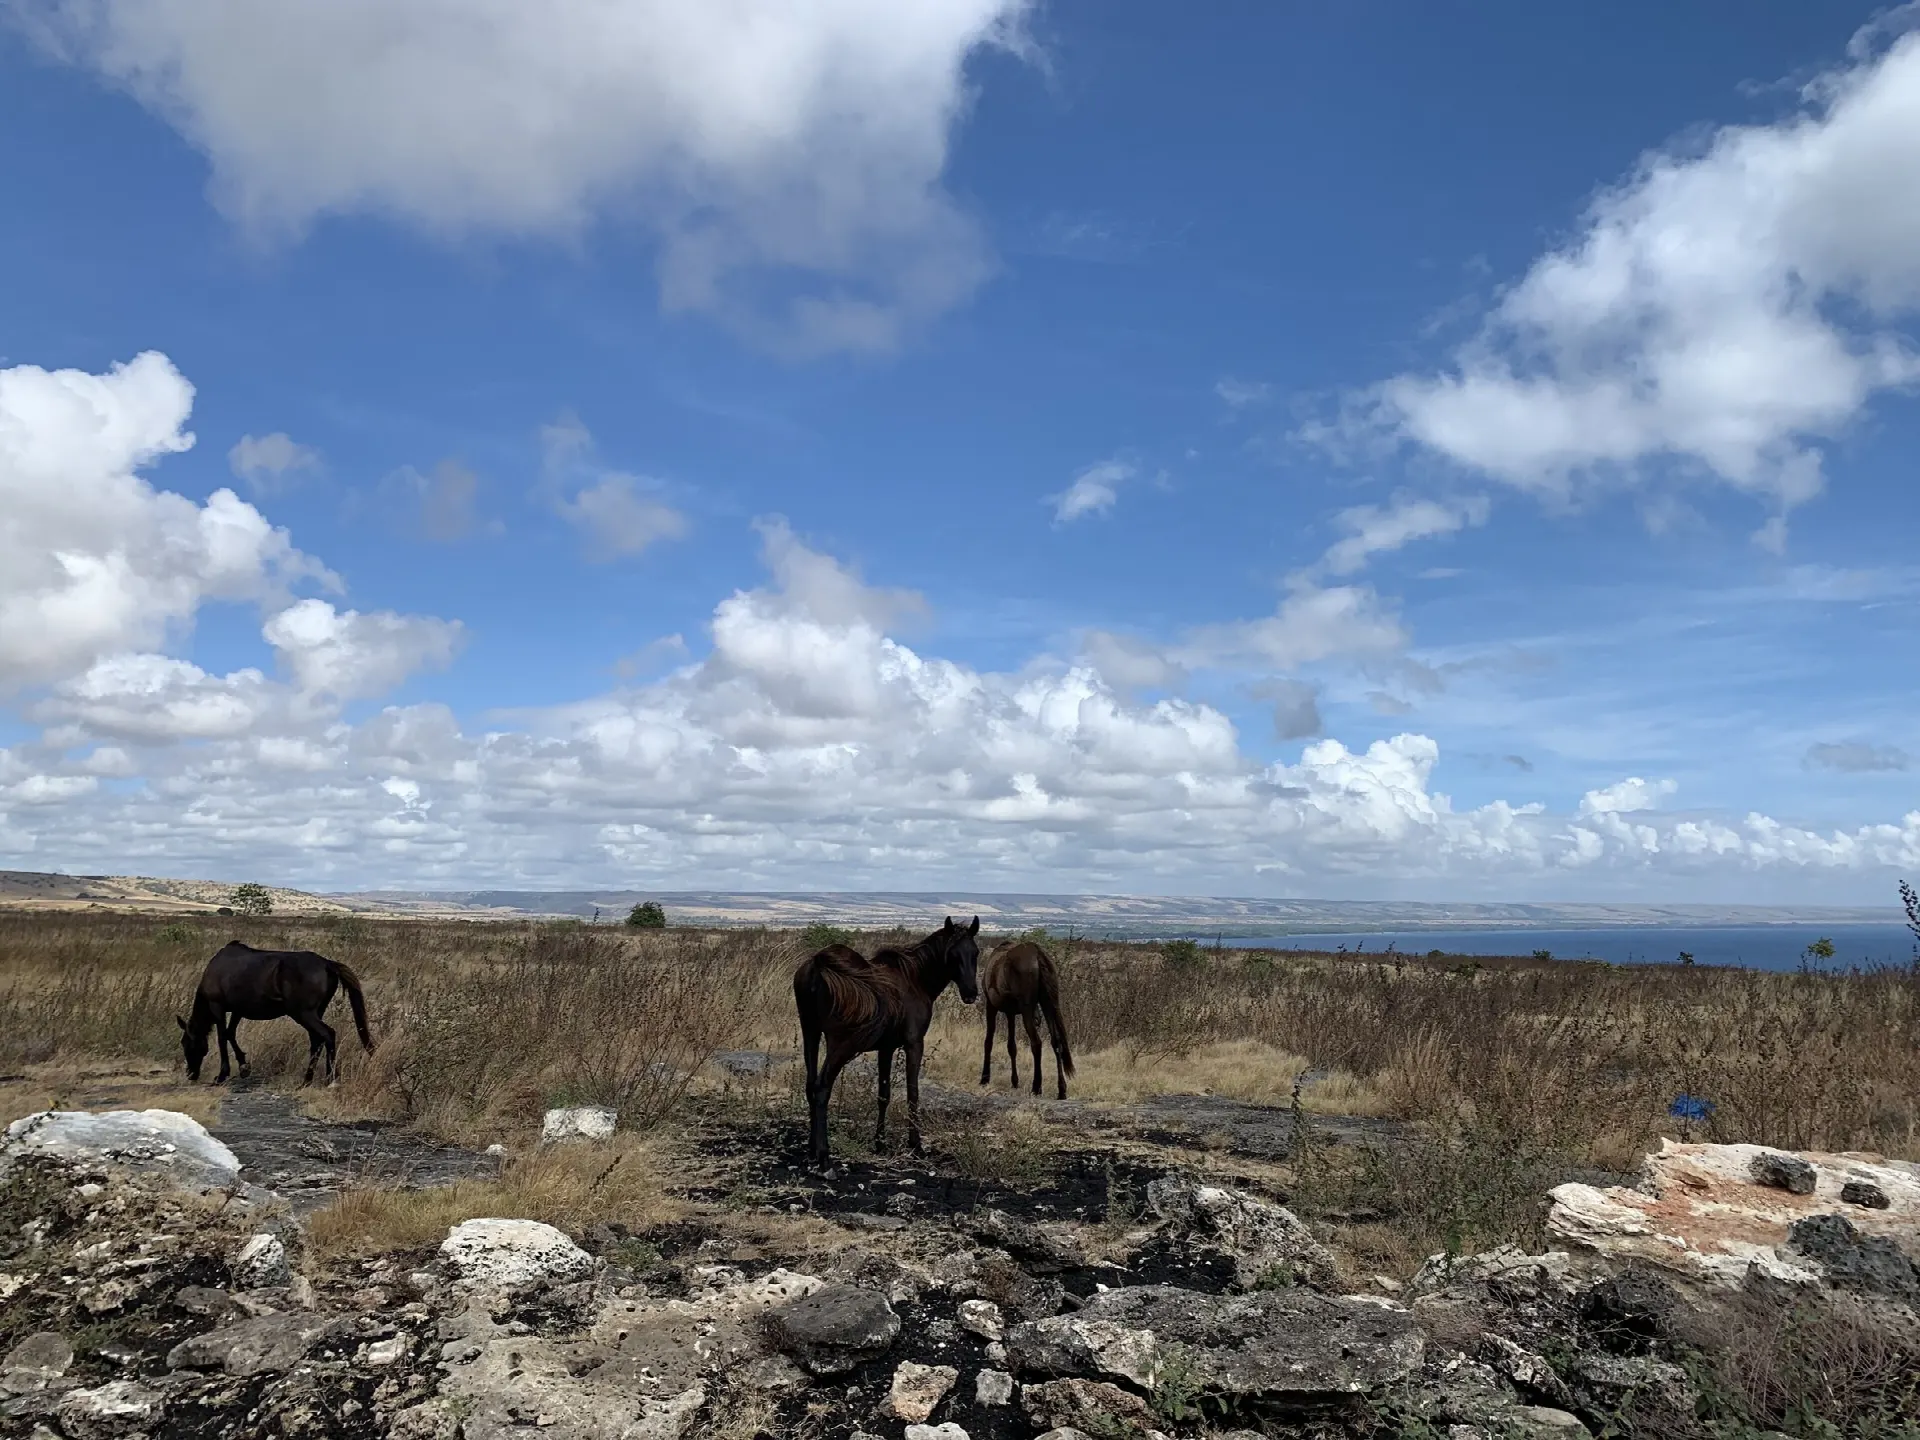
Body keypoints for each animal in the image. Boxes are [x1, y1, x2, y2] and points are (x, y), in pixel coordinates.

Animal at [177, 940, 374, 1086]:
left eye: (186, 1044)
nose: (191, 1074)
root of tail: (327, 964)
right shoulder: (237, 1010)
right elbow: (230, 1034)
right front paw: (243, 1066)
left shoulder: (217, 1007)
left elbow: (222, 1038)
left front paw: (222, 1075)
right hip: (316, 1012)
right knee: (316, 1040)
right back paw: (307, 1080)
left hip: (304, 1013)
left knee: (328, 1034)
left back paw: (330, 1080)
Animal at [792, 916, 980, 1163]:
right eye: (953, 954)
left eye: (975, 952)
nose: (971, 993)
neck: (914, 979)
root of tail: (818, 965)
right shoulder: (914, 1043)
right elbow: (913, 1093)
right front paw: (916, 1145)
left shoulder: (886, 1048)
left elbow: (884, 1095)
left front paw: (880, 1143)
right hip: (839, 1045)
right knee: (821, 1087)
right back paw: (824, 1155)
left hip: (810, 1033)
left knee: (810, 1085)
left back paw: (812, 1148)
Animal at [980, 939, 1076, 1099]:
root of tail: (1037, 953)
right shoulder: (1010, 1013)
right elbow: (1012, 1046)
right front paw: (1014, 1081)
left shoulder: (991, 1006)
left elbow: (989, 1041)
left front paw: (984, 1078)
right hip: (1048, 1004)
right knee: (1056, 1041)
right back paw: (1061, 1089)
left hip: (1026, 1010)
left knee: (1036, 1043)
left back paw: (1036, 1087)